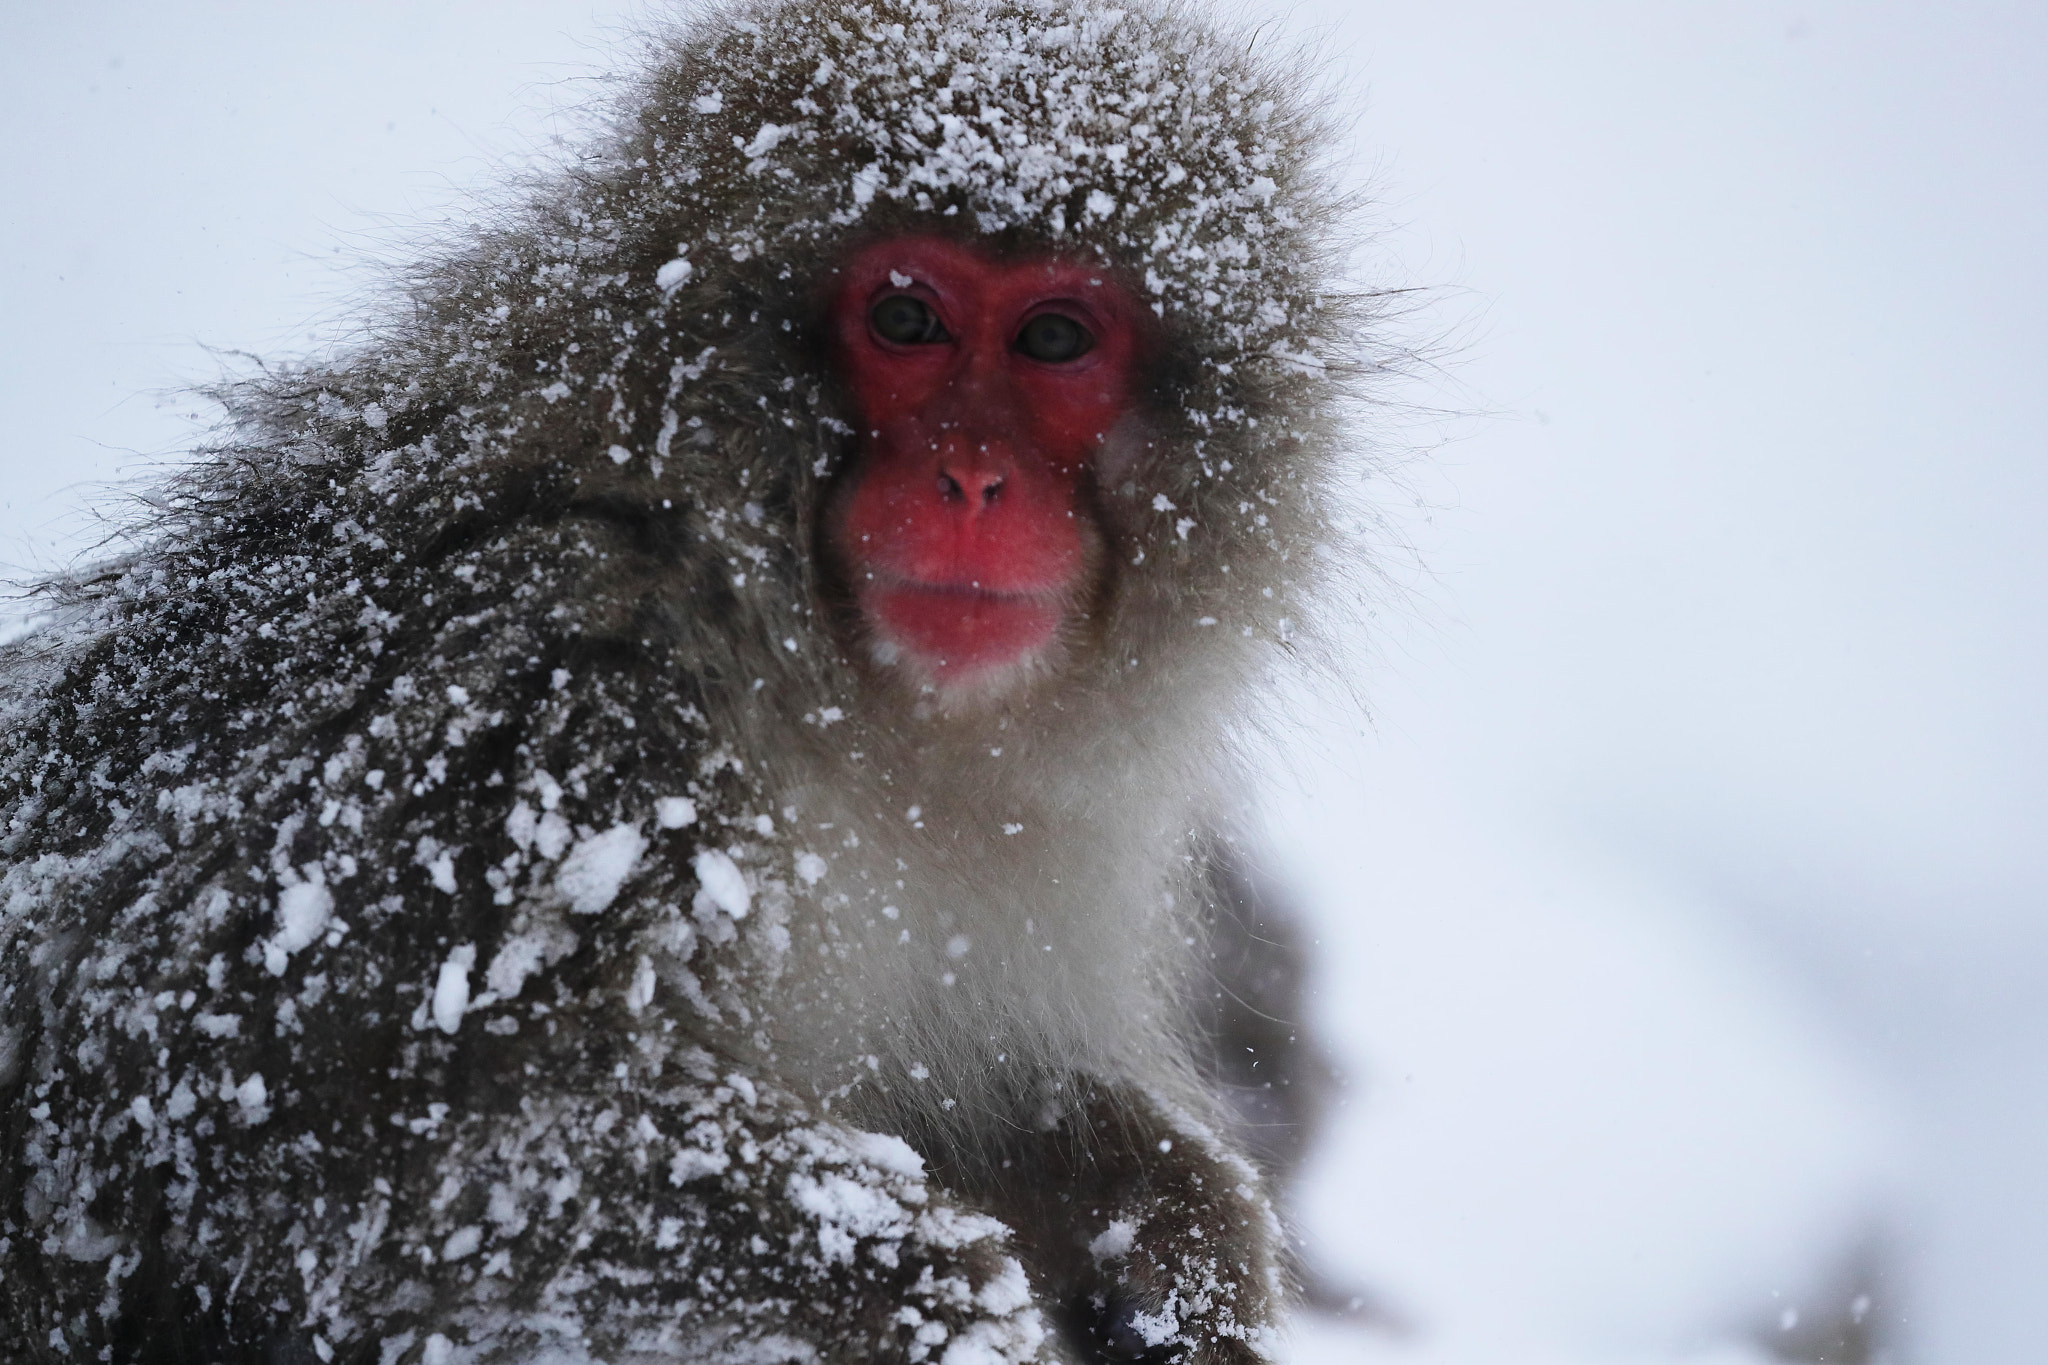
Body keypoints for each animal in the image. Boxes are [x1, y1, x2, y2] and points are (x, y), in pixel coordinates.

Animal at [0, 0, 1377, 1360]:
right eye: (905, 322)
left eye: (1052, 339)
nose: (973, 480)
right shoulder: (509, 706)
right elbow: (307, 1136)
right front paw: (941, 1304)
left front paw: (1173, 1236)